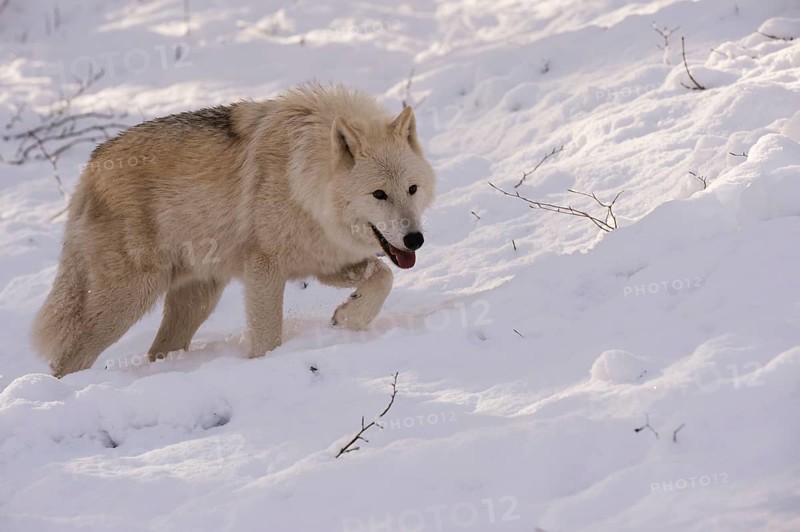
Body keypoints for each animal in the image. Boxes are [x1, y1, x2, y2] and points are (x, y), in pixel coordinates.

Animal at [31, 83, 436, 377]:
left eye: (412, 189)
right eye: (379, 194)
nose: (415, 239)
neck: (303, 179)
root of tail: (90, 166)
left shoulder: (323, 262)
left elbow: (382, 276)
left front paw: (349, 317)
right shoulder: (264, 270)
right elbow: (267, 336)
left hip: (198, 298)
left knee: (158, 351)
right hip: (130, 299)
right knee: (67, 359)